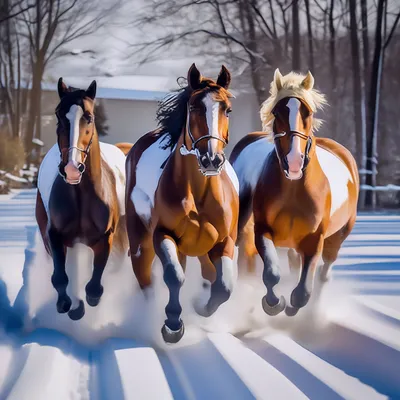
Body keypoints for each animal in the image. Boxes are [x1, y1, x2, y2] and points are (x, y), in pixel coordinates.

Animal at [35, 79, 130, 322]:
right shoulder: (54, 235)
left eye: (89, 116)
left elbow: (94, 287)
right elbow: (60, 277)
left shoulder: (106, 238)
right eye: (58, 114)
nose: (71, 168)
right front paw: (69, 304)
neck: (80, 196)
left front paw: (88, 300)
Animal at [126, 64, 238, 342]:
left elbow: (223, 287)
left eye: (227, 109)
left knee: (208, 275)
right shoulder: (163, 235)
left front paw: (200, 307)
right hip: (141, 243)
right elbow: (174, 276)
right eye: (194, 107)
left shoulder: (223, 241)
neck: (199, 194)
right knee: (145, 280)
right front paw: (173, 324)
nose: (212, 159)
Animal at [231, 70, 360, 318]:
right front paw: (274, 303)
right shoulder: (263, 231)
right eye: (276, 112)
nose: (293, 162)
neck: (294, 191)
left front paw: (292, 305)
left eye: (308, 112)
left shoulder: (314, 240)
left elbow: (303, 291)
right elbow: (271, 273)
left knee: (324, 272)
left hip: (337, 238)